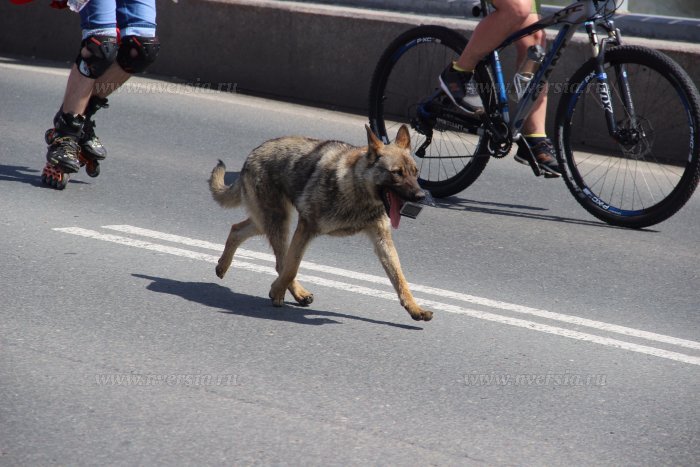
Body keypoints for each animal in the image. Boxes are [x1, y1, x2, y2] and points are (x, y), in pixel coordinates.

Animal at [206, 124, 432, 322]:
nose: (421, 196)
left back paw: (223, 266)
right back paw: (292, 291)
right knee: (281, 262)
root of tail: (253, 153)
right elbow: (292, 267)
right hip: (278, 222)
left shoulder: (382, 240)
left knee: (237, 230)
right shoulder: (306, 228)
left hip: (267, 222)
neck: (355, 187)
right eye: (397, 173)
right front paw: (276, 291)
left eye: (415, 172)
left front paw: (415, 309)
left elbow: (400, 279)